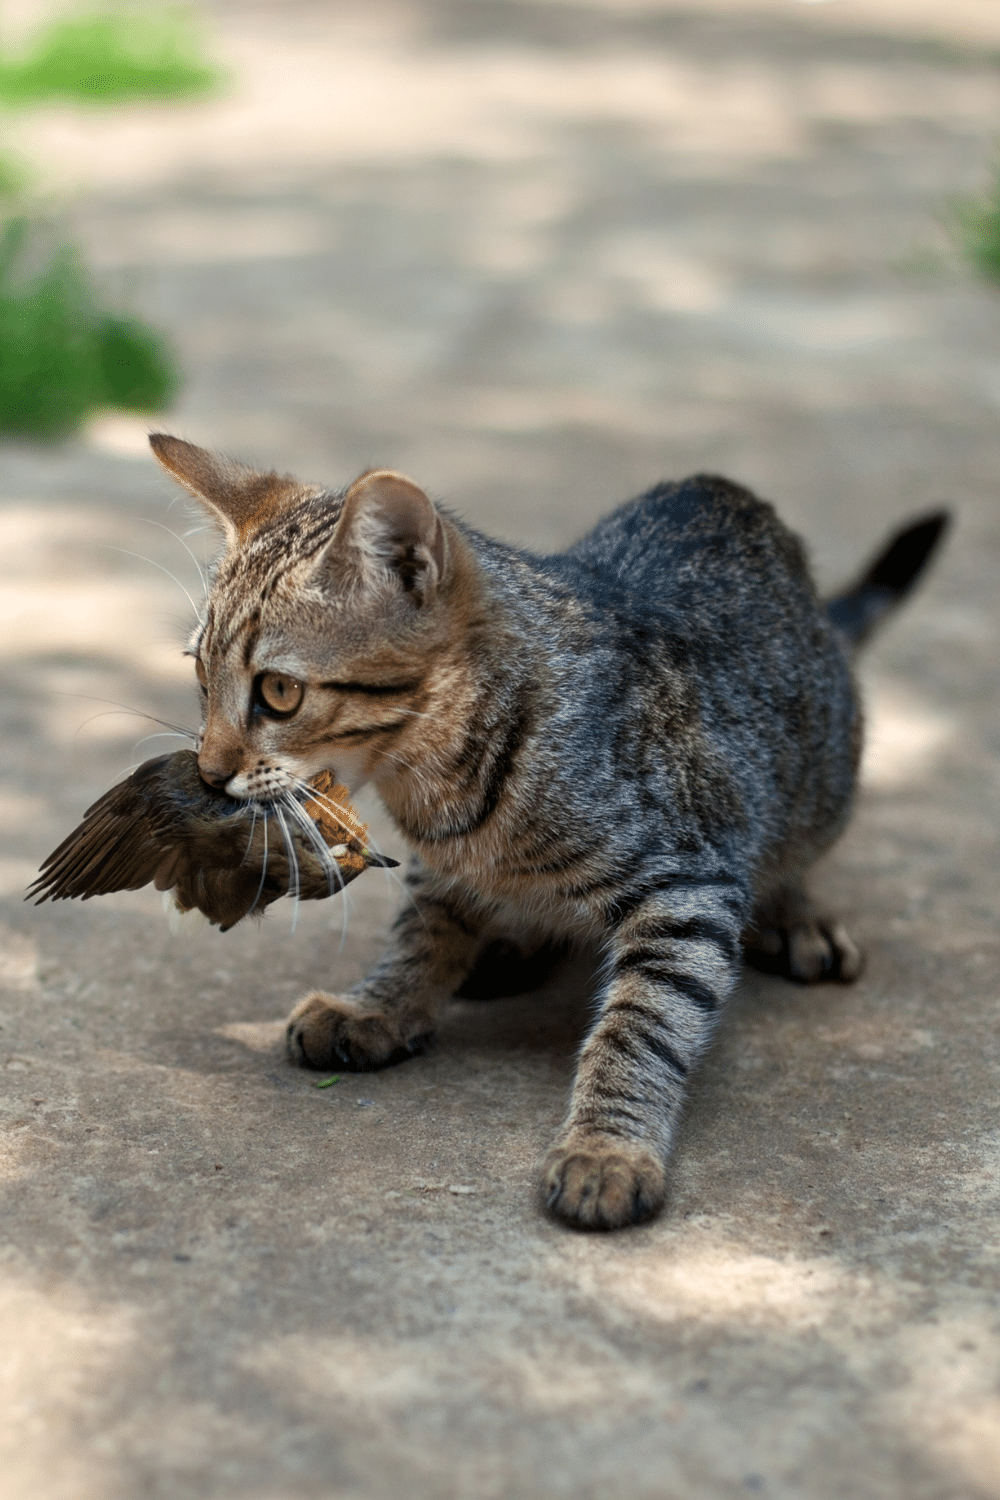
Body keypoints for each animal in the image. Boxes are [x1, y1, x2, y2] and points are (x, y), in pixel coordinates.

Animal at [152, 435, 953, 1230]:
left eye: (278, 693)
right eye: (201, 677)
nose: (208, 771)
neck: (438, 784)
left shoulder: (691, 886)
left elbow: (641, 1026)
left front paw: (607, 1147)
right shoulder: (439, 868)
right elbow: (423, 932)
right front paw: (382, 1002)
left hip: (820, 779)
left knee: (789, 856)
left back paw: (795, 914)